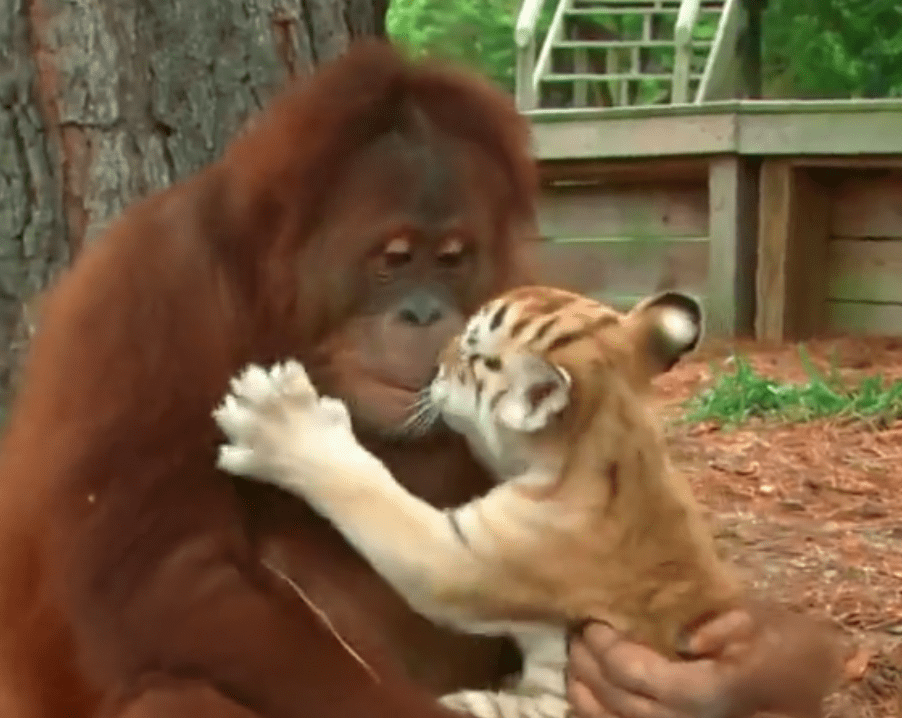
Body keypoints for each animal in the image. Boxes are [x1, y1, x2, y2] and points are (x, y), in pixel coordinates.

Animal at [212, 286, 745, 718]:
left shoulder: (462, 557)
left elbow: (367, 490)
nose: (434, 361)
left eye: (470, 355)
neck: (612, 433)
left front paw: (277, 418)